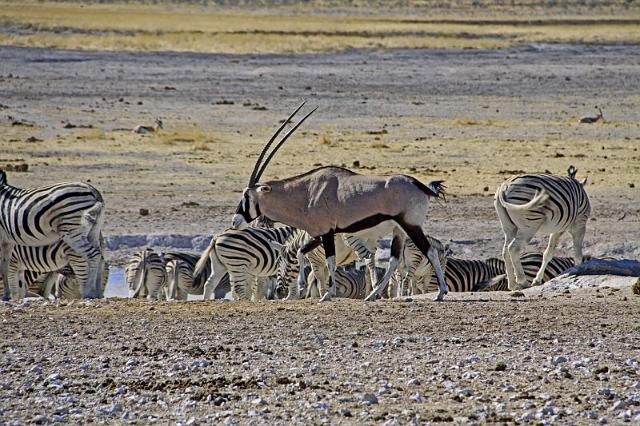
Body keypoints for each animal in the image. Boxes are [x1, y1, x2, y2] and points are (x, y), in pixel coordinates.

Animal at [0, 170, 105, 300]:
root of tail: (93, 191)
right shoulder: (8, 241)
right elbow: (5, 266)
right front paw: (7, 295)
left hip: (71, 230)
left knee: (92, 256)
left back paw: (88, 292)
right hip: (93, 230)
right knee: (100, 256)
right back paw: (97, 292)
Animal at [232, 102, 448, 302]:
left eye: (247, 196)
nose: (235, 221)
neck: (307, 192)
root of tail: (421, 186)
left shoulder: (327, 233)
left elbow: (331, 262)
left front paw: (327, 294)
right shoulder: (319, 233)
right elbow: (302, 252)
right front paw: (303, 286)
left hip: (411, 225)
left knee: (429, 251)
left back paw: (440, 293)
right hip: (399, 230)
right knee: (394, 261)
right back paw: (371, 296)